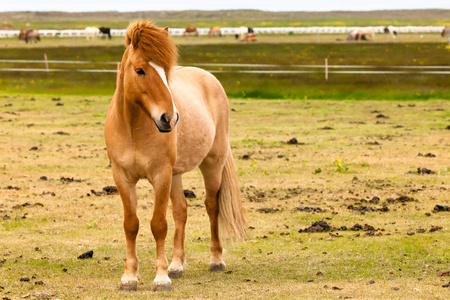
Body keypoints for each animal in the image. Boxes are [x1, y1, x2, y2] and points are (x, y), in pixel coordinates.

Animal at [104, 19, 248, 292]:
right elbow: (131, 225)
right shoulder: (123, 177)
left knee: (211, 206)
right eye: (140, 70)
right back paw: (177, 265)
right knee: (181, 210)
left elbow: (158, 225)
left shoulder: (161, 175)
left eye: (165, 71)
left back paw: (216, 260)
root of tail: (209, 77)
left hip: (212, 163)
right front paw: (129, 277)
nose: (169, 118)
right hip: (176, 174)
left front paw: (161, 278)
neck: (133, 128)